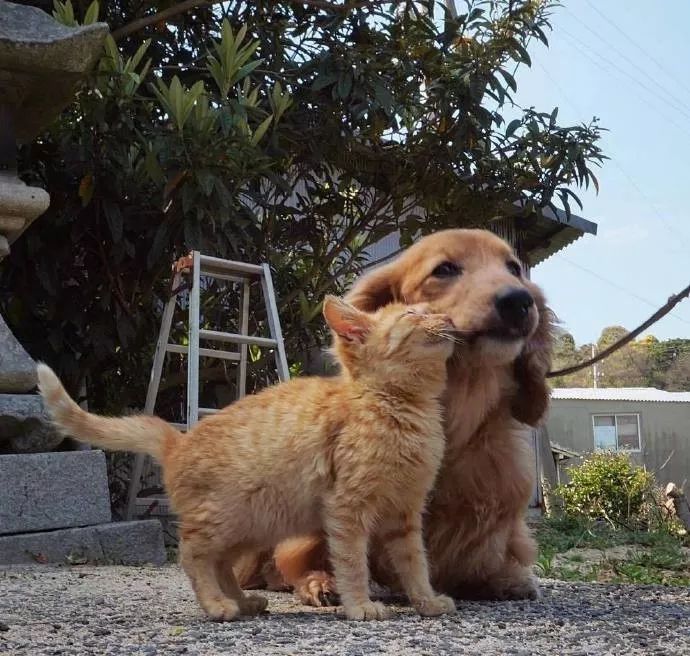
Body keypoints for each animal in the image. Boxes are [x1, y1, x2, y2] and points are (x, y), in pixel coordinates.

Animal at [37, 294, 456, 624]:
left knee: (222, 564)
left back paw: (242, 601)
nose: (450, 318)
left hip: (255, 526)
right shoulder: (347, 508)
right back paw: (217, 605)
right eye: (413, 314)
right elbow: (352, 562)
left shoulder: (405, 513)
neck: (396, 407)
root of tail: (178, 442)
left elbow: (415, 562)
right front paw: (360, 606)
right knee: (192, 555)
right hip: (224, 519)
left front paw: (427, 601)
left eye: (435, 310)